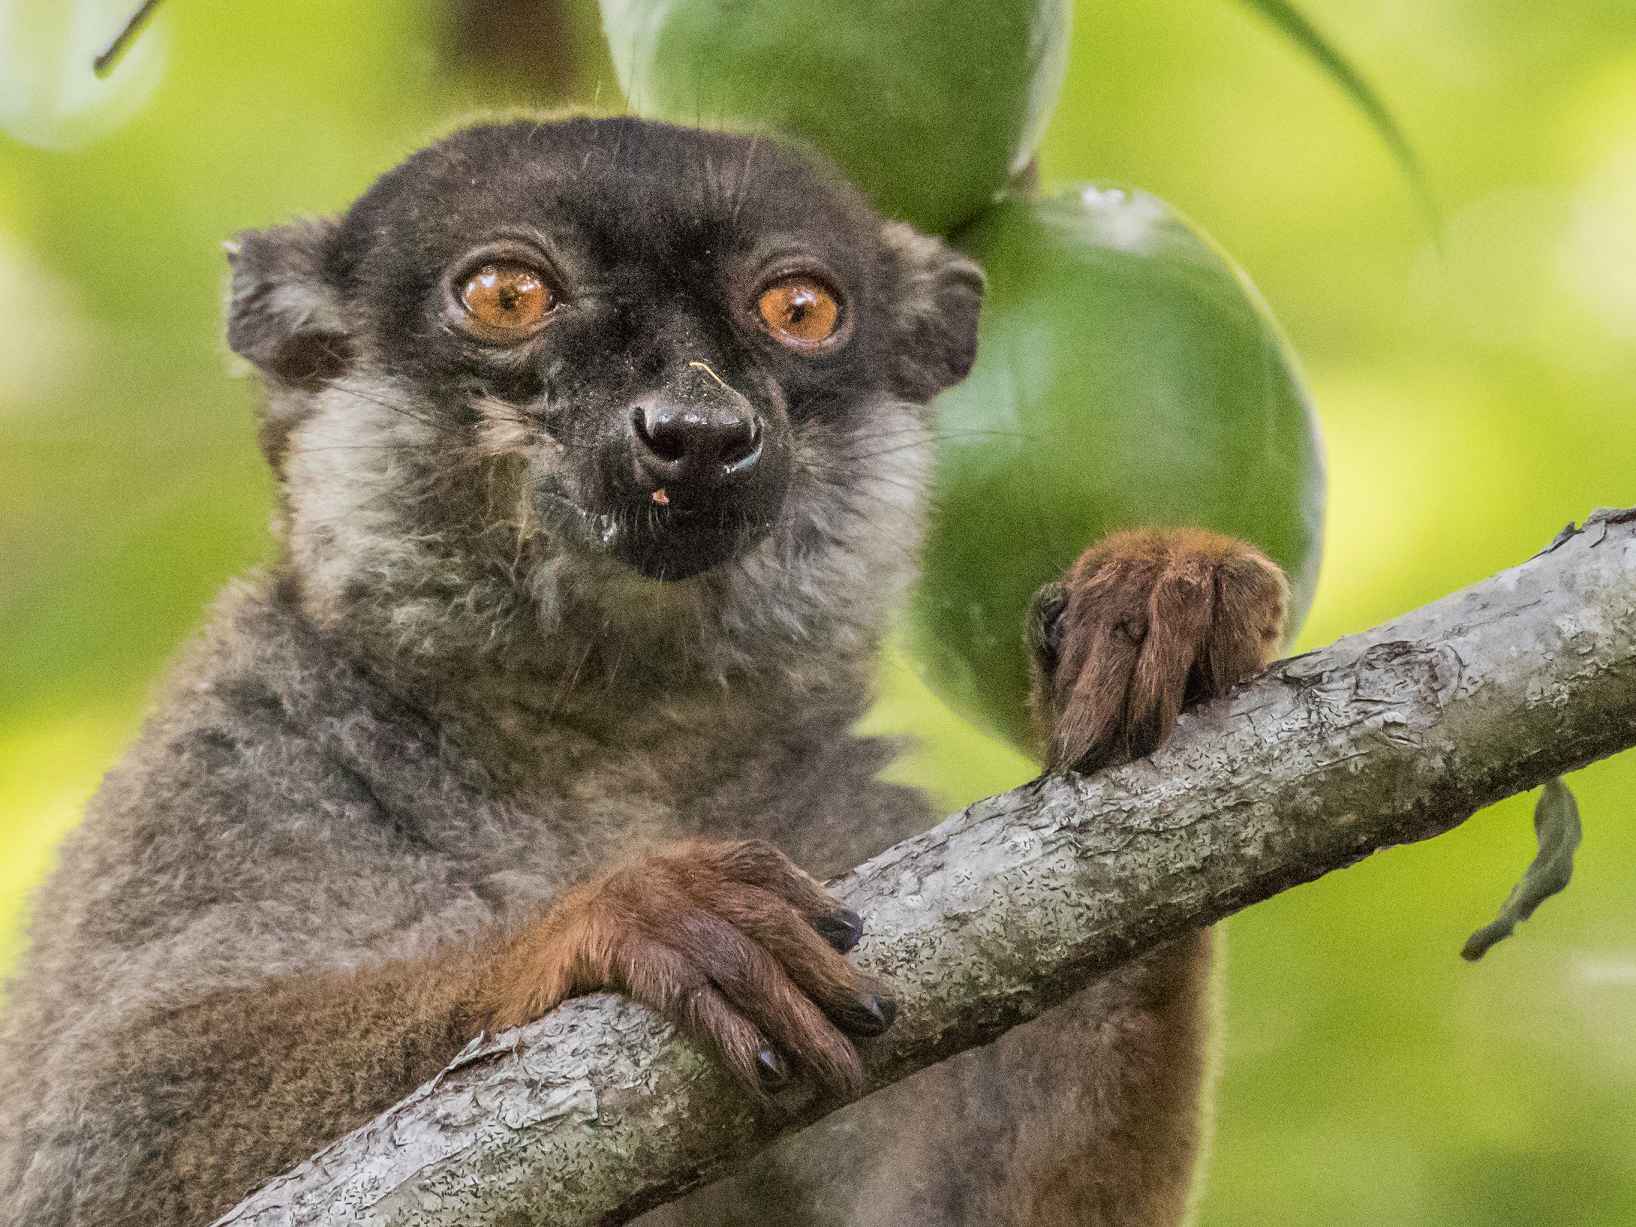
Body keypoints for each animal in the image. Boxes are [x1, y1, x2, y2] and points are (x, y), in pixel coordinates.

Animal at [0, 116, 1288, 1226]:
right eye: (507, 296)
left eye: (799, 309)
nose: (698, 428)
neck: (608, 737)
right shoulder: (233, 753)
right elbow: (90, 1149)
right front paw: (612, 920)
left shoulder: (841, 811)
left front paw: (1158, 600)